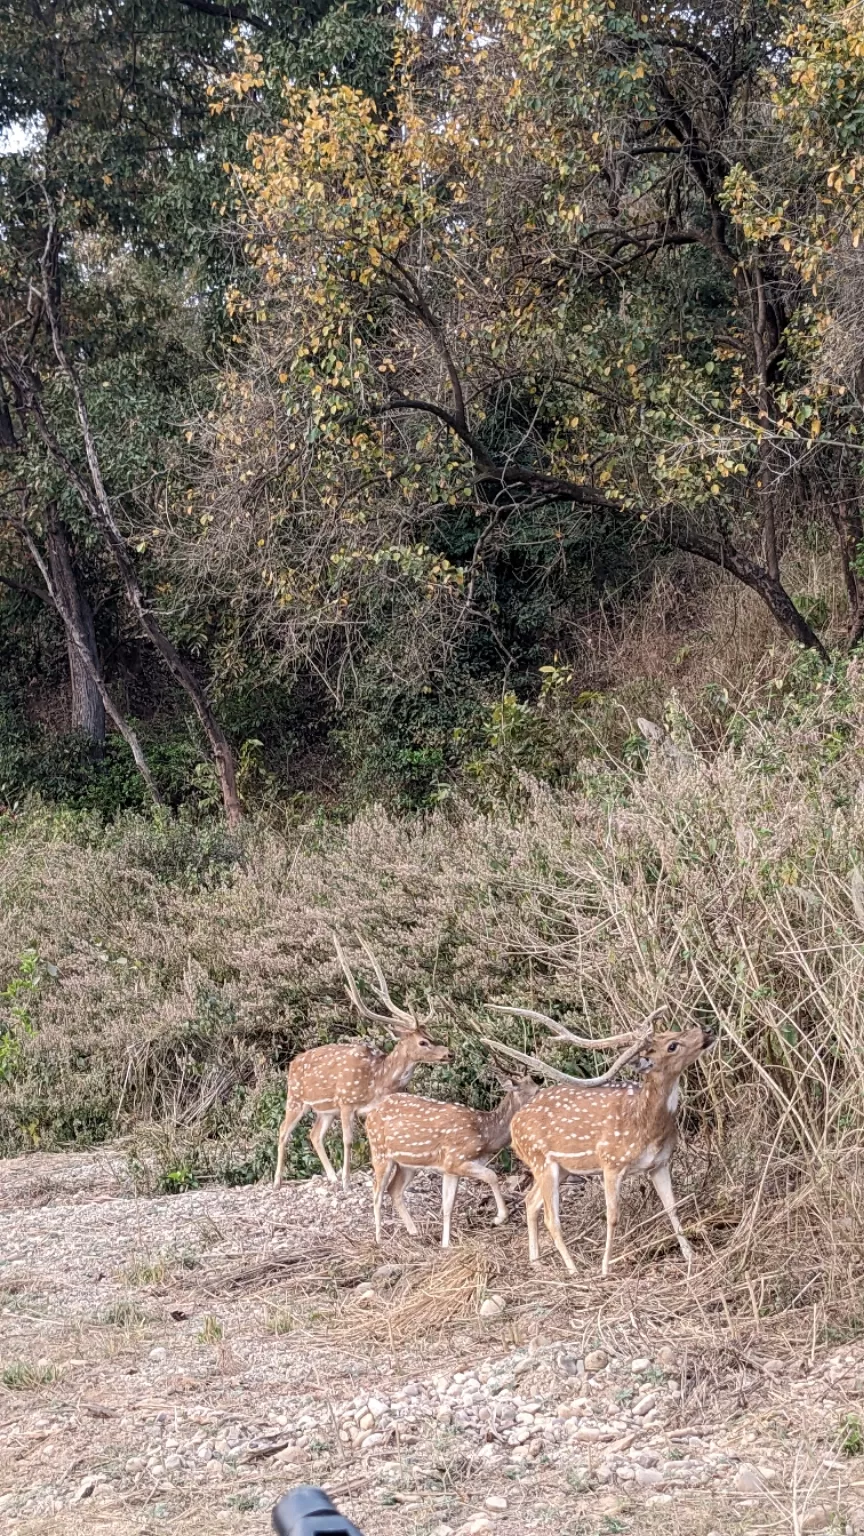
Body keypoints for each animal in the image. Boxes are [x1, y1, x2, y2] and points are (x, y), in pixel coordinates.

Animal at [273, 933, 451, 1198]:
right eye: (423, 1042)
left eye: (432, 1035)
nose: (448, 1053)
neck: (377, 1081)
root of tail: (292, 1063)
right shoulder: (347, 1102)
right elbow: (348, 1140)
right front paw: (348, 1182)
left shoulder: (366, 1110)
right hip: (296, 1098)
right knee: (284, 1130)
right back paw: (278, 1181)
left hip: (326, 1110)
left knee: (314, 1134)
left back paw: (331, 1177)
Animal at [362, 1069, 538, 1247]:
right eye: (535, 1092)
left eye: (537, 1086)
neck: (485, 1135)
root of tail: (369, 1116)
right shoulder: (456, 1158)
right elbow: (491, 1175)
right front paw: (499, 1217)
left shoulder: (449, 1169)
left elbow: (448, 1206)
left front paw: (445, 1244)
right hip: (379, 1151)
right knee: (377, 1192)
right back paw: (379, 1239)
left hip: (408, 1164)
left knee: (394, 1189)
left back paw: (414, 1232)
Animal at [498, 1001, 713, 1277]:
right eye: (672, 1046)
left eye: (672, 1032)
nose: (708, 1029)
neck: (646, 1127)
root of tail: (514, 1127)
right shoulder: (611, 1162)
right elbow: (612, 1216)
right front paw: (604, 1267)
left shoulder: (659, 1163)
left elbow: (671, 1206)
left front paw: (690, 1254)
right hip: (540, 1160)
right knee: (550, 1217)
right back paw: (573, 1269)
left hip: (560, 1168)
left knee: (530, 1201)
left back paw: (536, 1261)